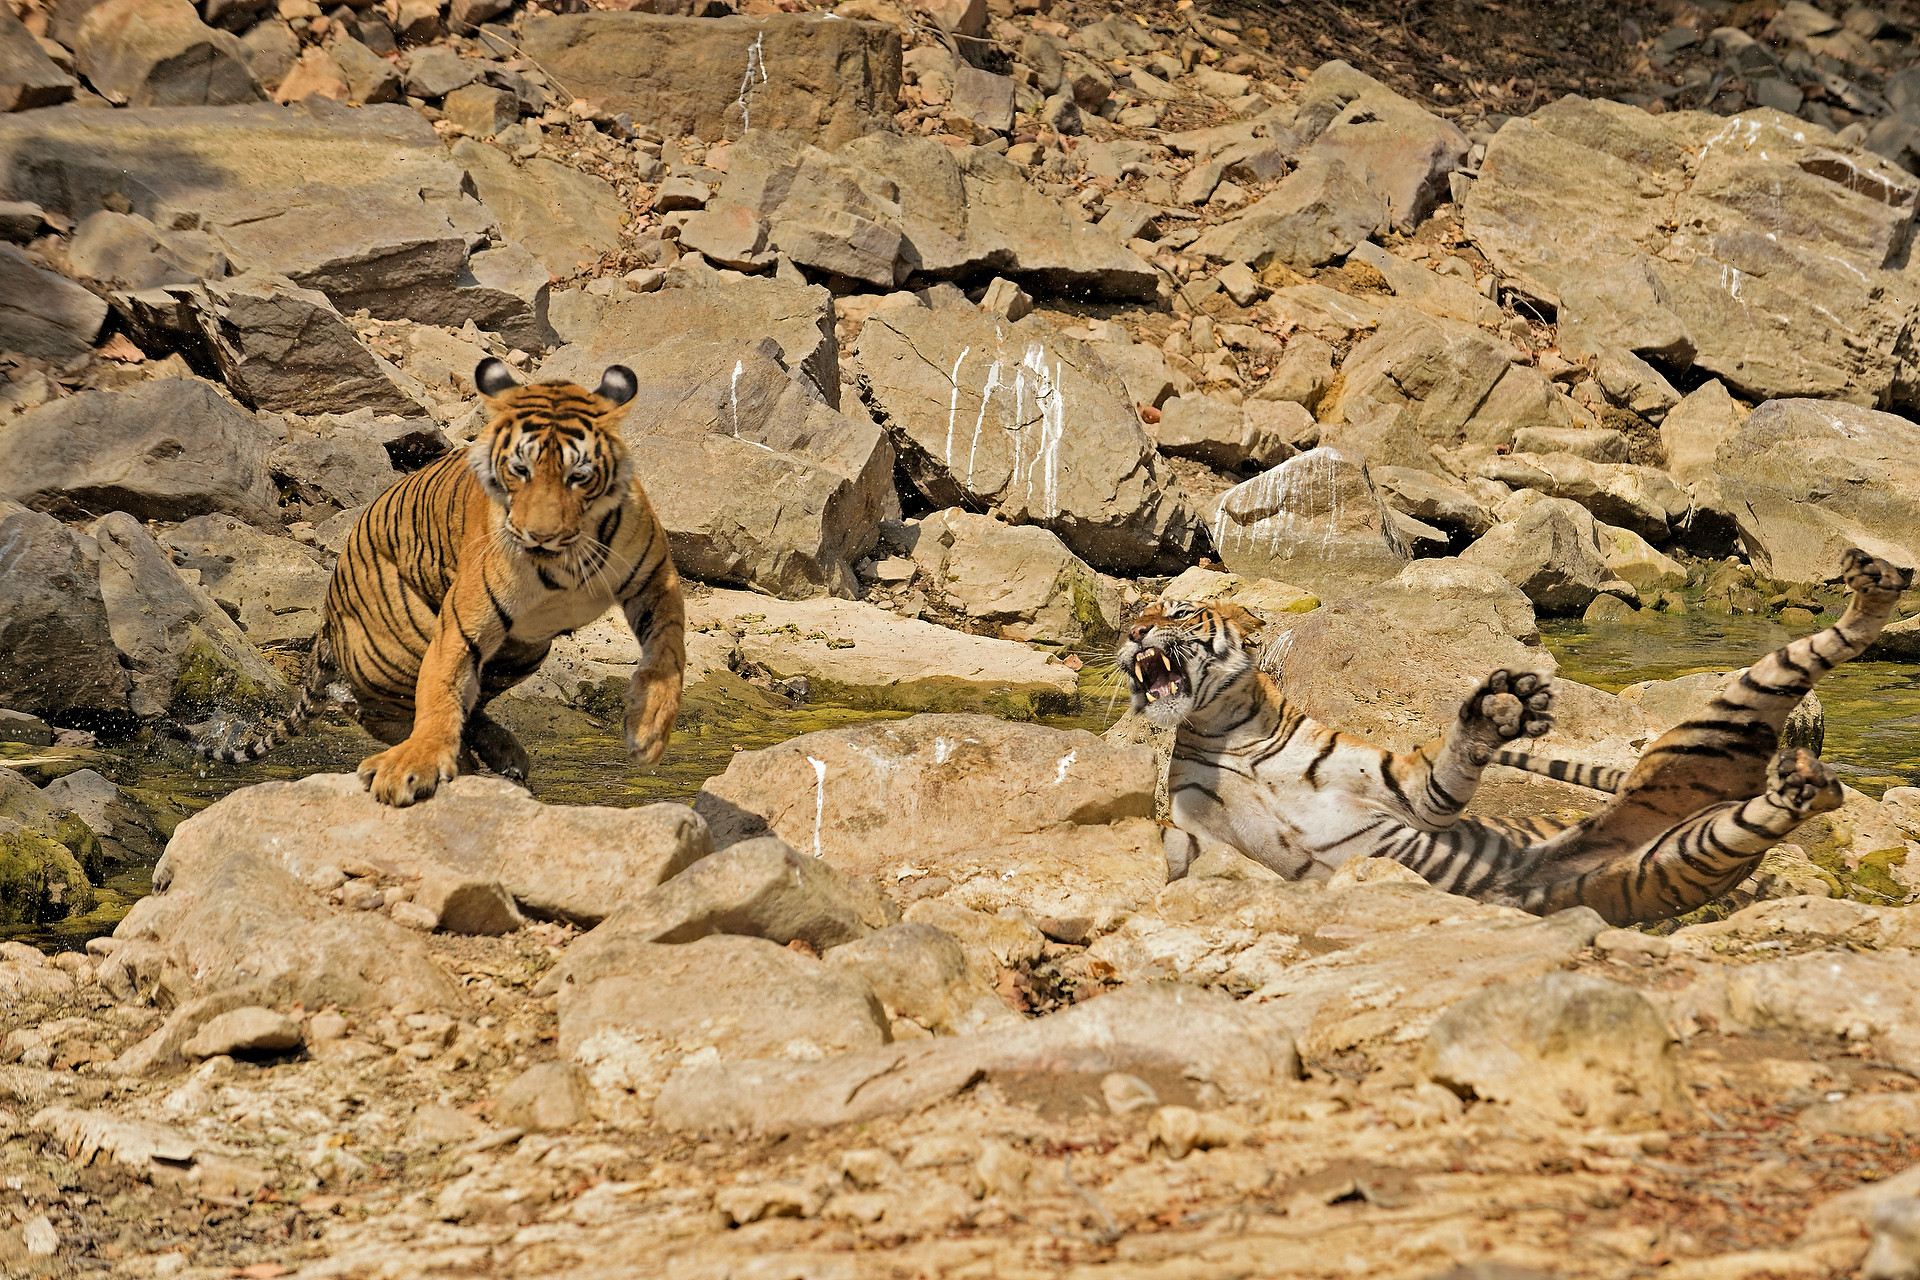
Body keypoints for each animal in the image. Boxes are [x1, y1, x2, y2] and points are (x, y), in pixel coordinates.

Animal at [202, 358, 686, 808]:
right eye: (519, 471)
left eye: (578, 477)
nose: (539, 535)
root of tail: (330, 603)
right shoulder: (461, 623)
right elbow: (438, 696)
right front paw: (413, 766)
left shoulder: (656, 581)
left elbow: (668, 653)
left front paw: (649, 727)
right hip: (399, 650)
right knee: (373, 708)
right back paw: (477, 766)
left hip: (523, 650)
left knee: (469, 706)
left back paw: (503, 757)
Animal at [1118, 549, 1911, 927]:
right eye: (1132, 611)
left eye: (1177, 611)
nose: (1129, 633)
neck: (1232, 733)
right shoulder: (1187, 834)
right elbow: (1187, 867)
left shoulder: (1406, 791)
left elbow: (1449, 761)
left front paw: (1497, 711)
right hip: (1694, 846)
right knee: (1790, 802)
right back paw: (1805, 781)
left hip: (1716, 718)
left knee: (1834, 638)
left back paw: (1873, 585)